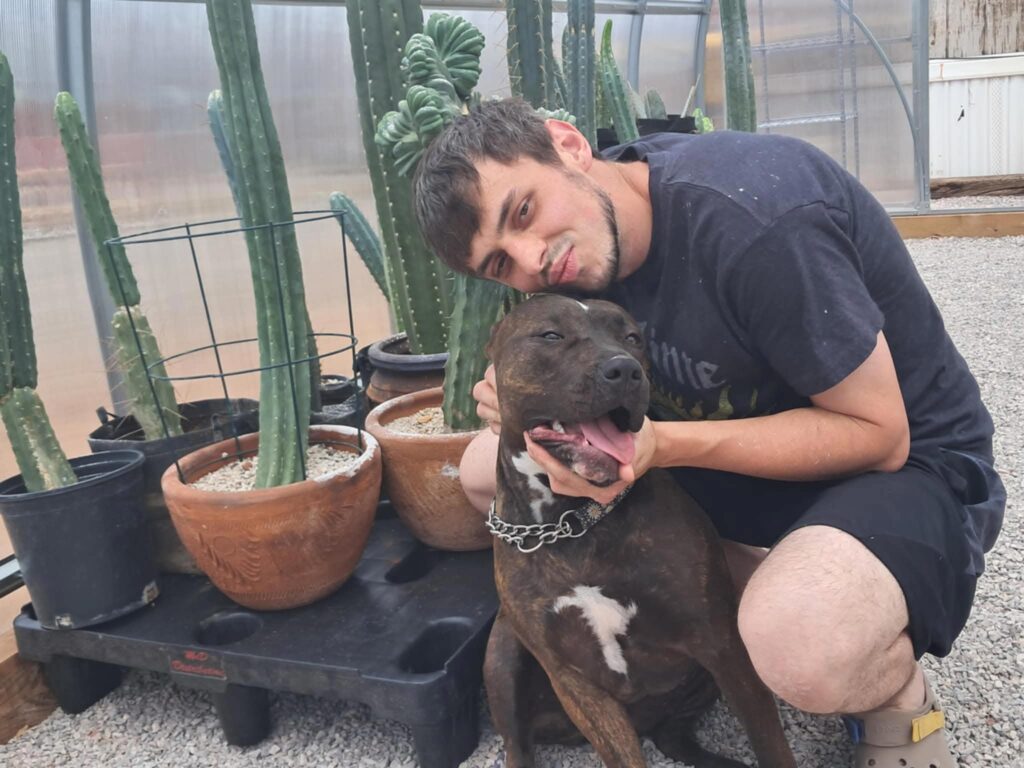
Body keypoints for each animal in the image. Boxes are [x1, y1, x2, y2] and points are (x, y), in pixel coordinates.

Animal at [483, 294, 796, 768]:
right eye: (551, 334)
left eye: (632, 338)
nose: (624, 369)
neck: (574, 523)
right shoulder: (577, 682)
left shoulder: (722, 644)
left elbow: (769, 741)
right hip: (501, 653)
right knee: (517, 746)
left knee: (672, 734)